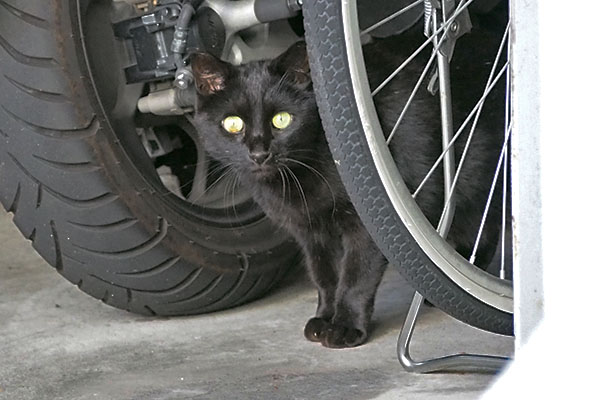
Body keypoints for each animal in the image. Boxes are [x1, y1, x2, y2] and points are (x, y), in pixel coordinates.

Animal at [190, 28, 504, 346]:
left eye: (282, 120)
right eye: (232, 123)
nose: (258, 153)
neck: (300, 179)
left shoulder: (368, 224)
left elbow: (356, 275)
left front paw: (345, 326)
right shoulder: (309, 231)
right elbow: (324, 275)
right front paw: (324, 317)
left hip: (471, 175)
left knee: (483, 227)